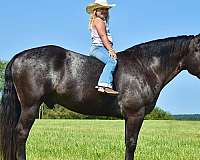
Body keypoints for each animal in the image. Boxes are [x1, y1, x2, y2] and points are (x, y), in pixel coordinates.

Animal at [0, 33, 199, 159]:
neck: (144, 67)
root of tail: (18, 57)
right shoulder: (135, 114)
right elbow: (131, 144)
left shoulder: (130, 117)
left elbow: (128, 143)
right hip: (30, 106)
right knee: (21, 133)